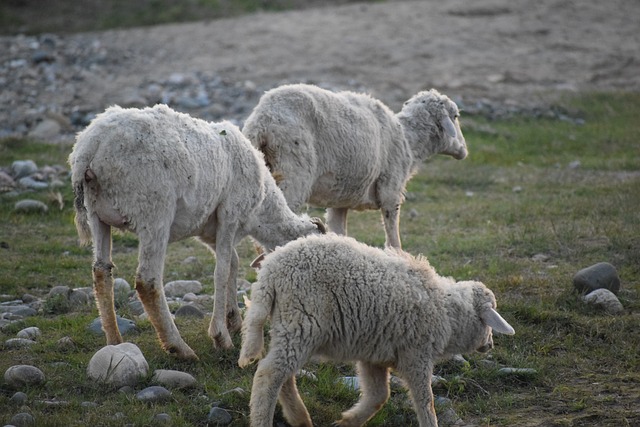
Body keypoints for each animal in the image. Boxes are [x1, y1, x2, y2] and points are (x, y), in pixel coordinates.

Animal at [70, 104, 324, 362]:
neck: (263, 210)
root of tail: (91, 146)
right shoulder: (230, 214)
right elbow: (222, 271)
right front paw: (221, 336)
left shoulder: (207, 229)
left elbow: (232, 263)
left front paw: (233, 319)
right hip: (153, 210)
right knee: (147, 281)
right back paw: (178, 347)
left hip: (97, 214)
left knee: (101, 272)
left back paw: (114, 342)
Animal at [240, 234, 516, 427]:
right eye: (489, 321)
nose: (490, 345)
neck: (446, 310)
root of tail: (270, 271)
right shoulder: (416, 355)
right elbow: (425, 401)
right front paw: (430, 420)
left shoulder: (374, 355)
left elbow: (379, 396)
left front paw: (348, 421)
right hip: (302, 322)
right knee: (269, 374)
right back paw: (266, 420)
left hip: (289, 327)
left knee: (283, 375)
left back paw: (299, 417)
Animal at [242, 83, 468, 249]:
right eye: (456, 116)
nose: (464, 151)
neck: (409, 141)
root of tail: (262, 120)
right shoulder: (390, 189)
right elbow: (393, 238)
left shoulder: (340, 200)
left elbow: (339, 230)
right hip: (293, 172)